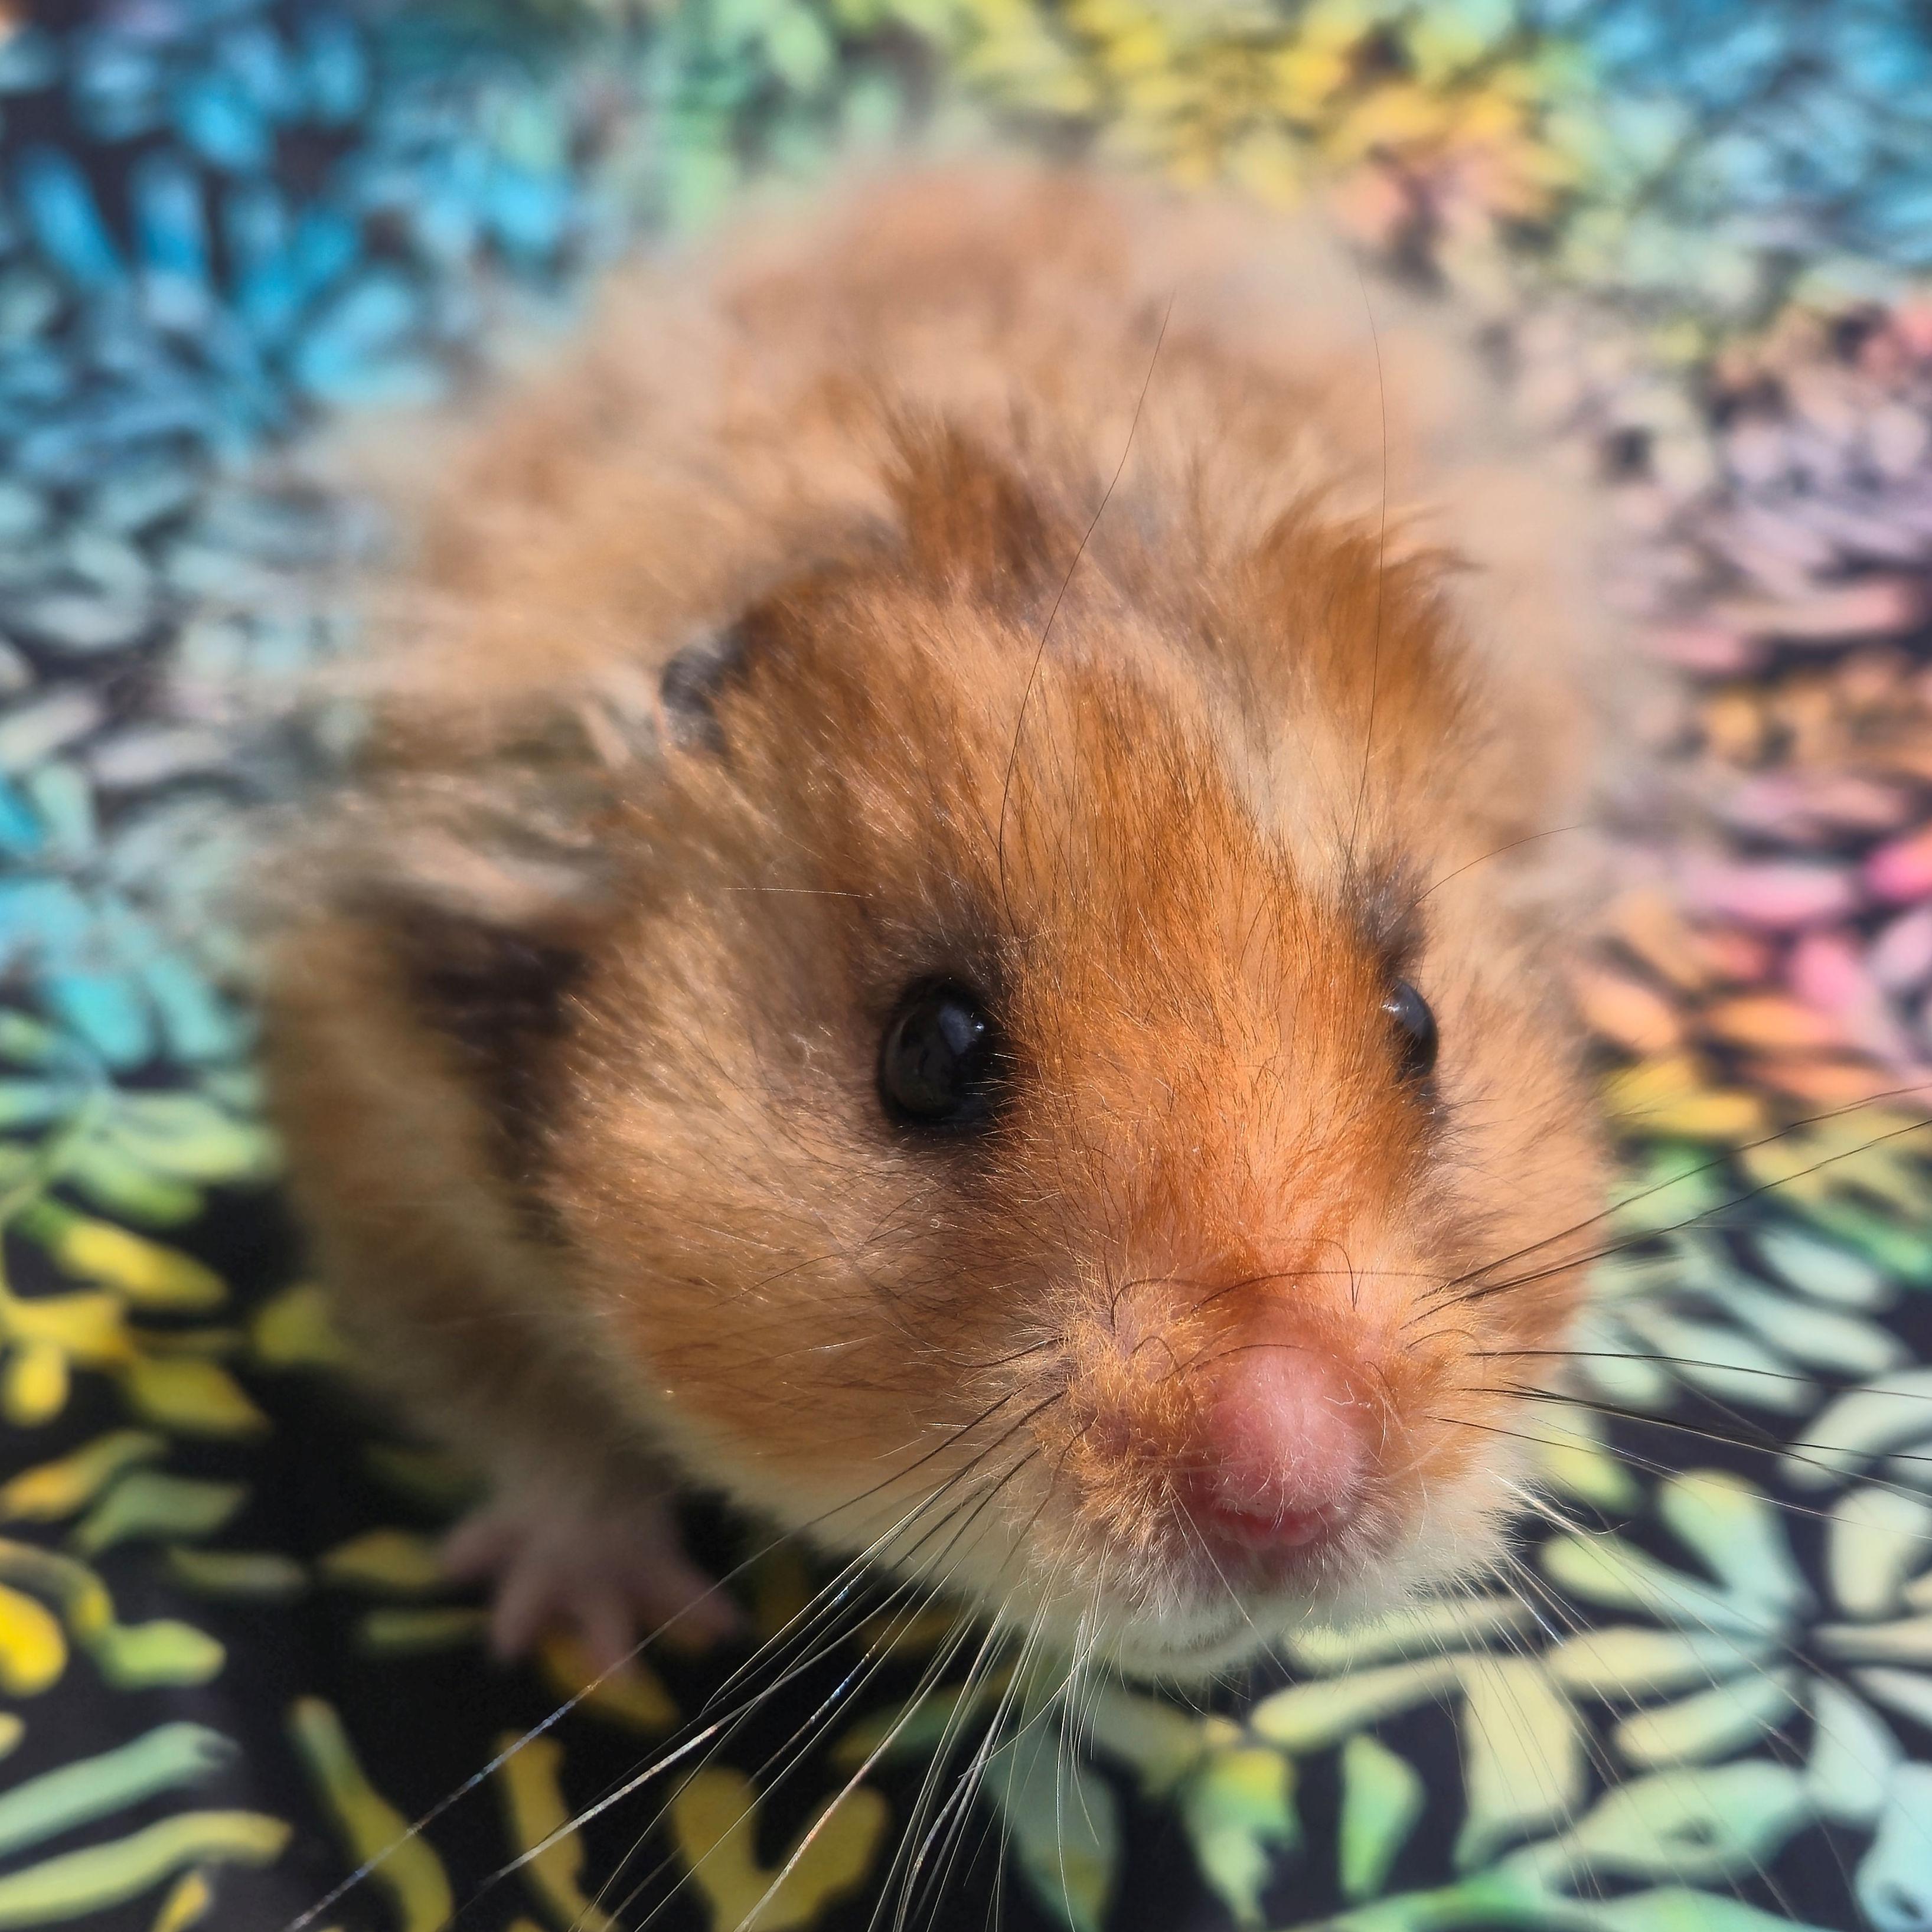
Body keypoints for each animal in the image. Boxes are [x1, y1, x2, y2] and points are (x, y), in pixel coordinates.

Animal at [260, 163, 1612, 1683]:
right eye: (927, 1052)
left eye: (1416, 1023)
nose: (1289, 1482)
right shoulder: (375, 1136)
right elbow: (526, 1422)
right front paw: (604, 1627)